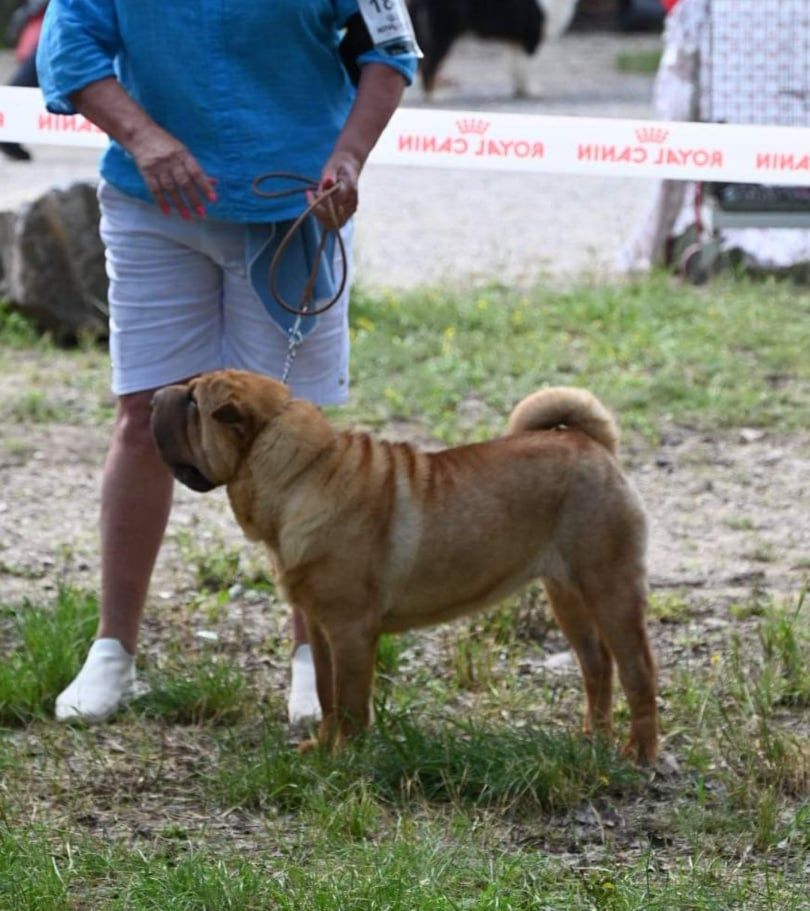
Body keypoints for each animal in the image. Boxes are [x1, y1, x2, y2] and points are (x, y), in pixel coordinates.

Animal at [151, 369, 658, 762]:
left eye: (194, 402)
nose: (155, 396)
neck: (301, 475)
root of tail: (592, 444)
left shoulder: (351, 630)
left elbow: (351, 701)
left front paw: (346, 758)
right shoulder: (320, 625)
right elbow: (327, 692)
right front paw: (323, 749)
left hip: (609, 586)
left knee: (637, 670)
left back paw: (639, 753)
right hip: (566, 594)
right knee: (597, 664)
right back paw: (594, 739)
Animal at [408, 0, 578, 97]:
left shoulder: (515, 41)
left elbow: (515, 66)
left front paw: (519, 90)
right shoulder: (530, 37)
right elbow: (526, 67)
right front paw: (530, 90)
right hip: (443, 35)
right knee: (429, 67)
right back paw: (435, 95)